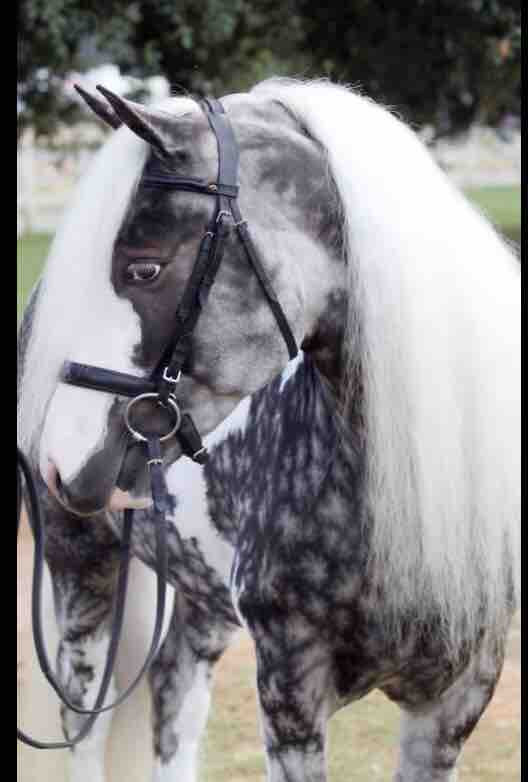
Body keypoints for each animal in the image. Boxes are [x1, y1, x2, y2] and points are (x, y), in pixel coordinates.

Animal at [17, 78, 520, 781]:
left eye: (144, 269)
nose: (60, 459)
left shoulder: (456, 699)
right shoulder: (290, 687)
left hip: (197, 602)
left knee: (173, 705)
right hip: (81, 573)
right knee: (84, 722)